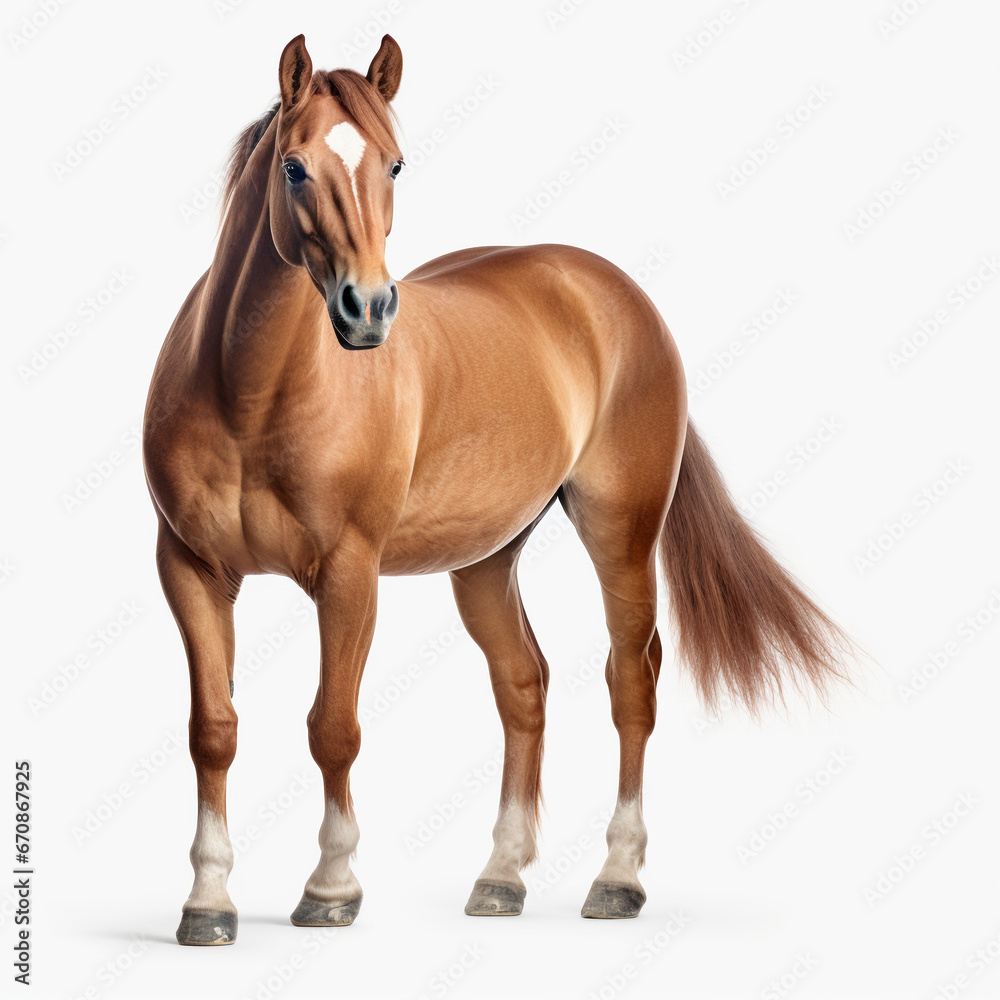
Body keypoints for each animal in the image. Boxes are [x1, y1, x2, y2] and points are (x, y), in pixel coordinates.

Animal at [142, 33, 853, 946]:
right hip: (485, 560)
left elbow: (333, 729)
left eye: (396, 163)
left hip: (621, 534)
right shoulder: (191, 570)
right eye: (295, 167)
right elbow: (214, 732)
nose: (367, 310)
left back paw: (617, 878)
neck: (252, 393)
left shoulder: (349, 575)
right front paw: (208, 902)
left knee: (632, 681)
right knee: (525, 684)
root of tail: (614, 293)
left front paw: (332, 889)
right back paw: (501, 877)